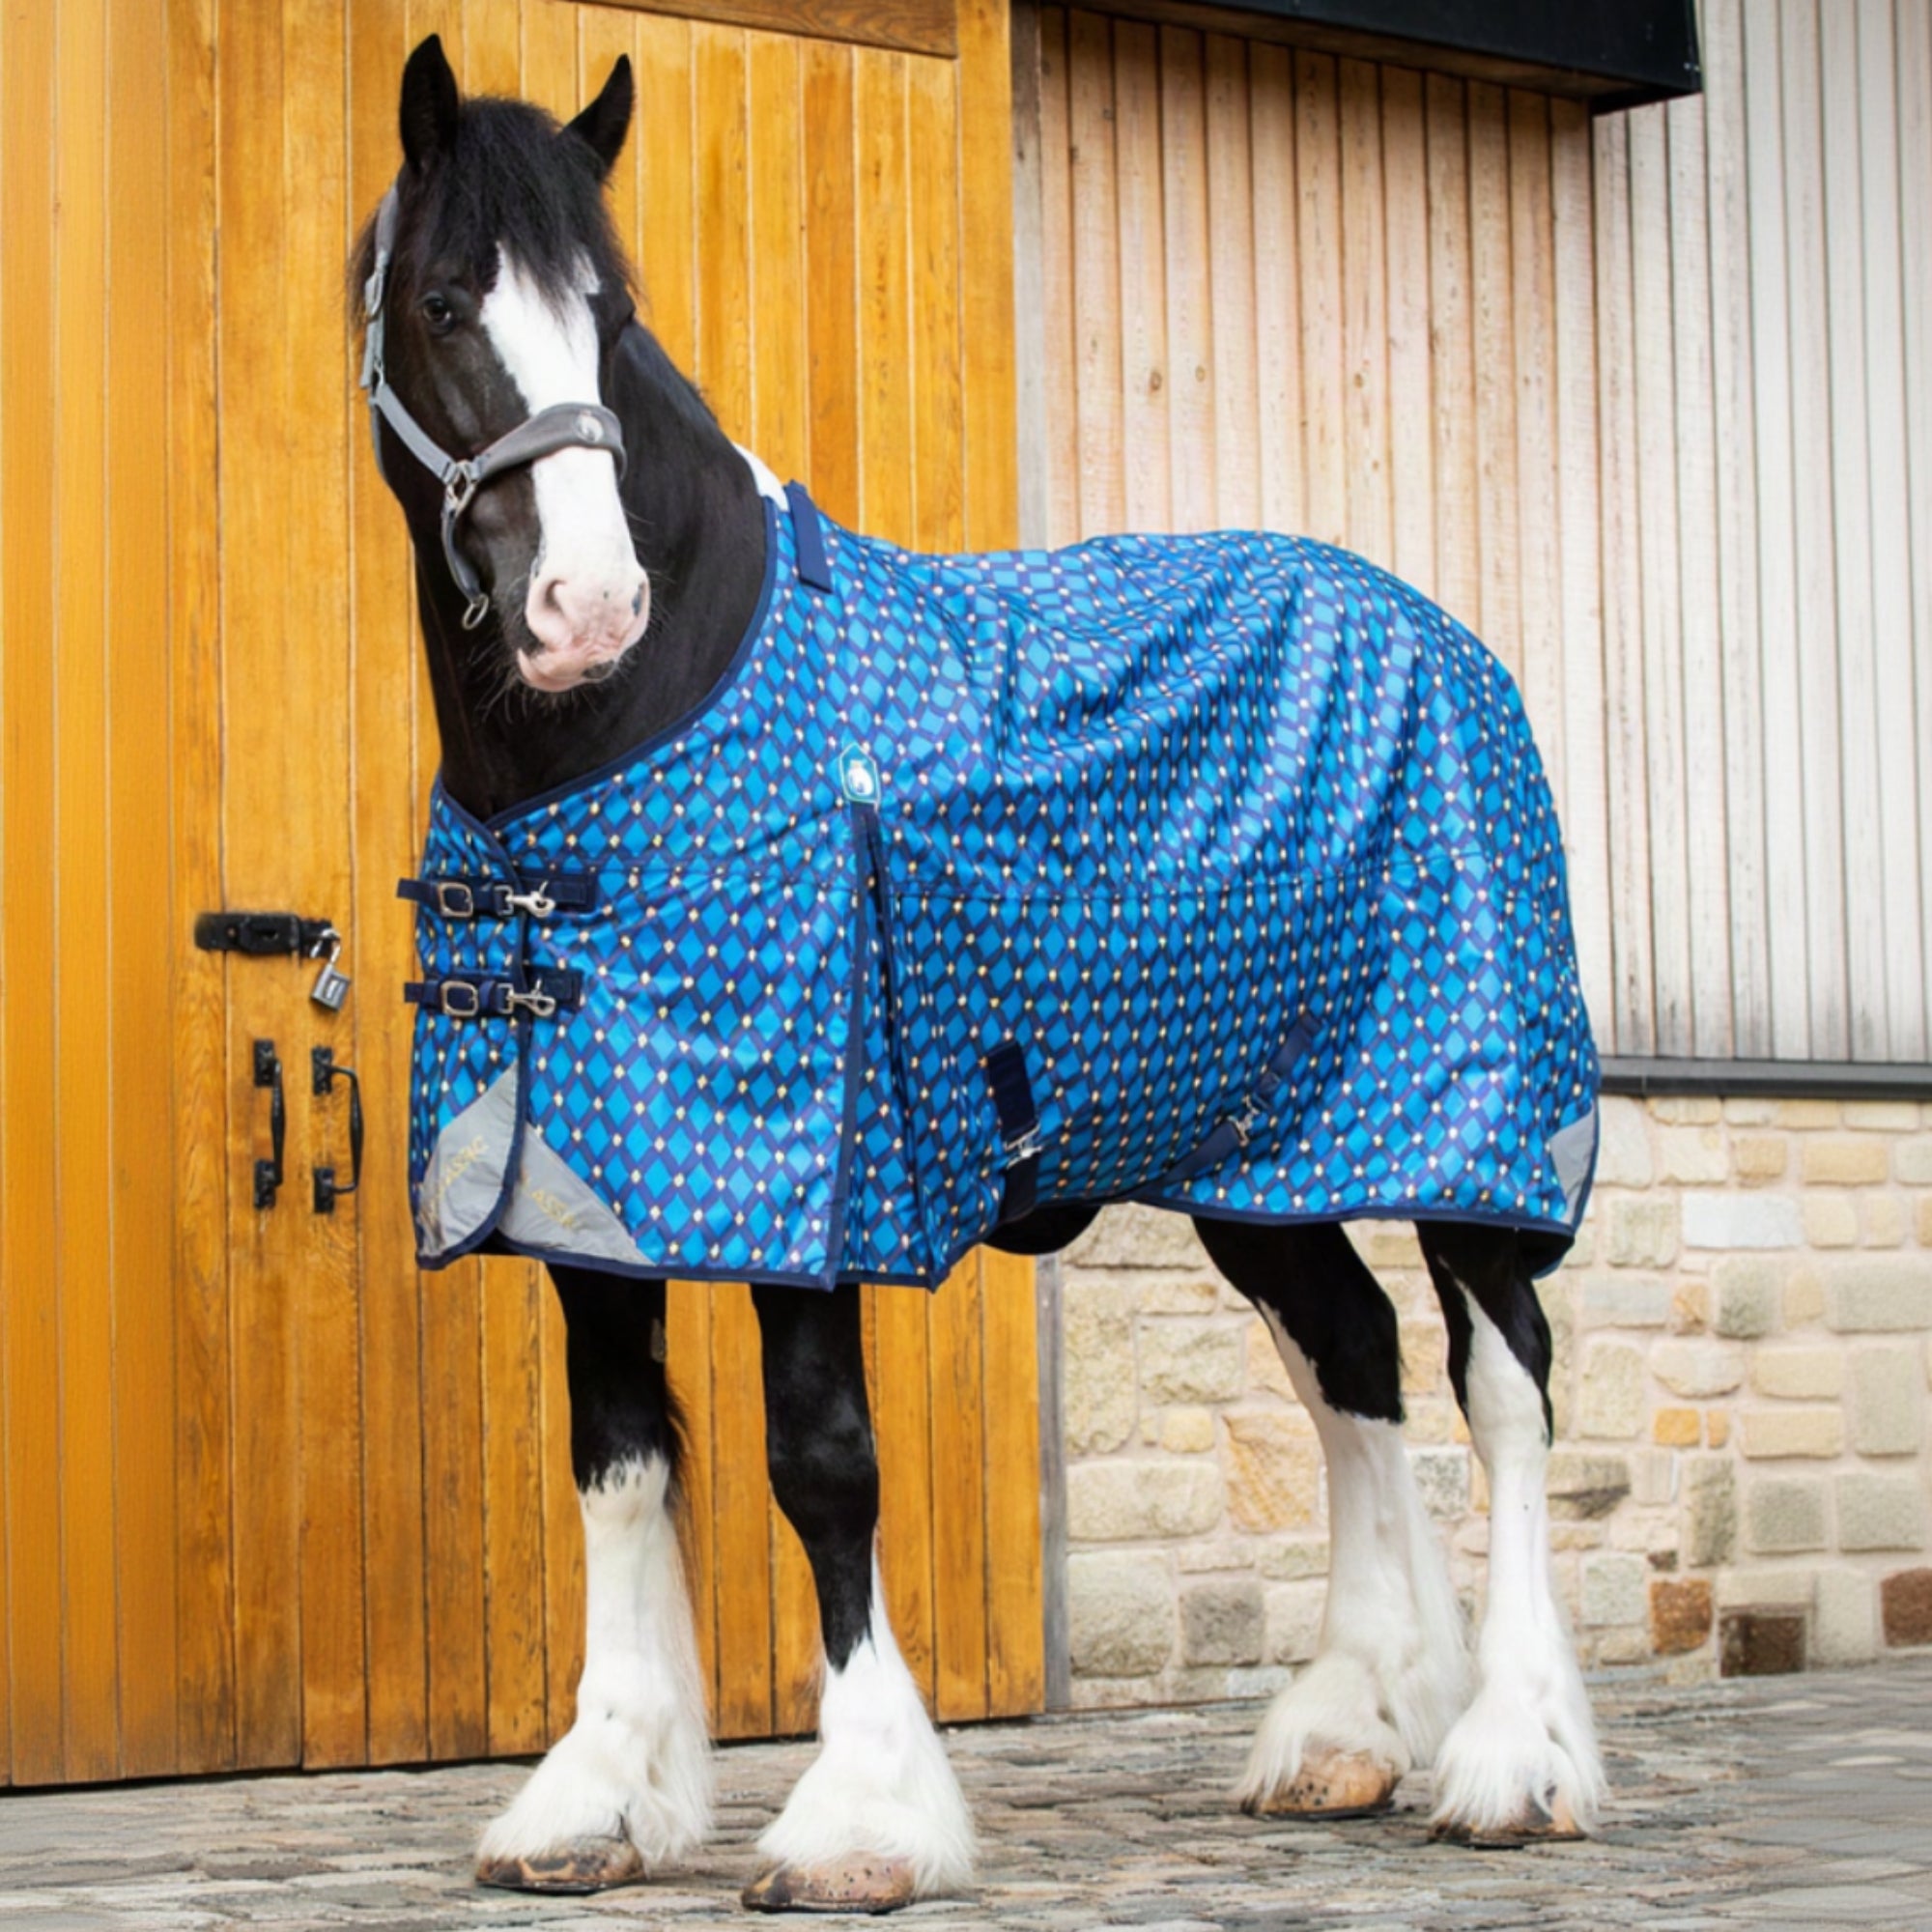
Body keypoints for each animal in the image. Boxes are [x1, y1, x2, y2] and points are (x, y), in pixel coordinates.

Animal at [352, 34, 1605, 1910]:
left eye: (611, 311)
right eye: (444, 301)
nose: (589, 606)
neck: (640, 723)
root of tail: (1437, 632)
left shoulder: (818, 1181)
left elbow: (821, 1464)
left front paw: (863, 1816)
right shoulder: (582, 1189)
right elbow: (621, 1463)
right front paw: (598, 1796)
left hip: (1467, 1123)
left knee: (1502, 1381)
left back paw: (1513, 1754)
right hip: (1259, 1158)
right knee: (1352, 1364)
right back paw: (1351, 1726)